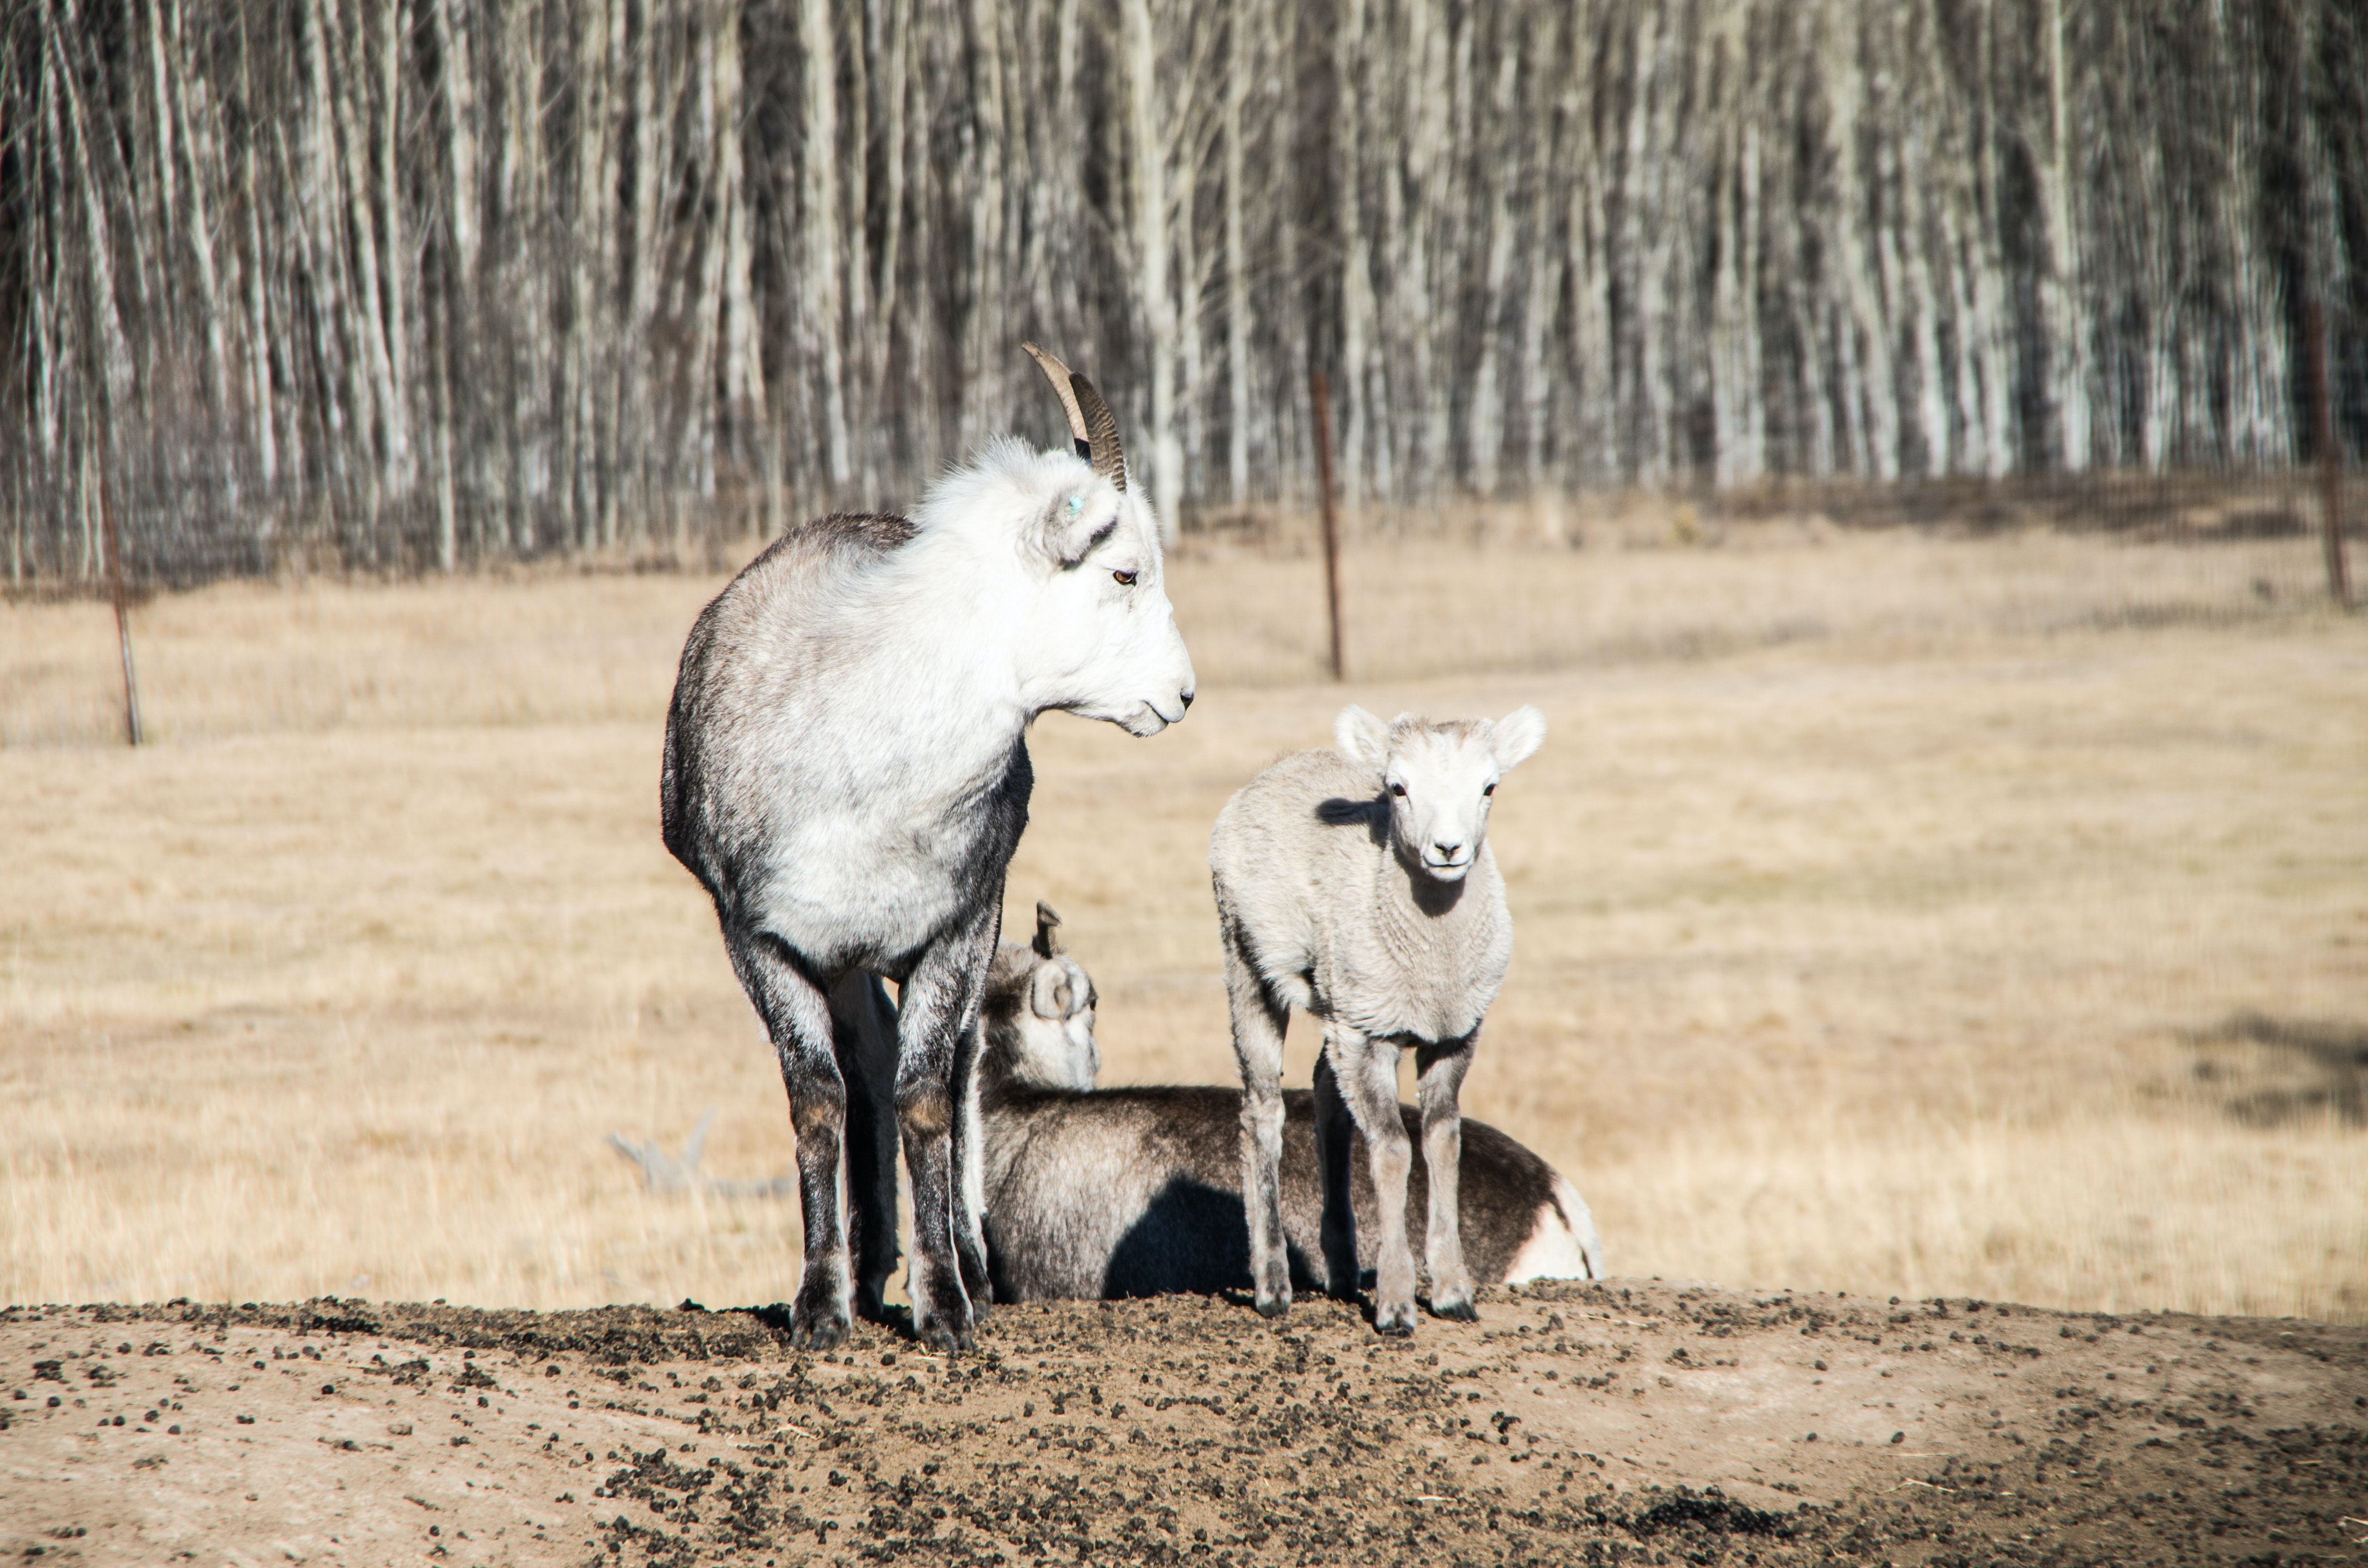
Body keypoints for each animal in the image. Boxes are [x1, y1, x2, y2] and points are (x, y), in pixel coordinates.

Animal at [658, 348, 1193, 1355]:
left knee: (949, 1070)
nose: (1179, 696)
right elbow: (820, 1097)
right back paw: (870, 1271)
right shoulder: (763, 941)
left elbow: (925, 1096)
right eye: (1125, 573)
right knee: (863, 1069)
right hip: (848, 963)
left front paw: (946, 1306)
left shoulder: (955, 930)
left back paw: (967, 1273)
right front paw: (821, 1309)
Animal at [1212, 706, 1544, 1335]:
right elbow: (1392, 1151)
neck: (1432, 964)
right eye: (1397, 788)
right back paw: (1272, 1287)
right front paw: (1394, 1307)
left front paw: (1452, 1294)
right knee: (1262, 1111)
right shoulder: (1373, 1038)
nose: (1447, 849)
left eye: (1488, 787)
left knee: (1327, 1097)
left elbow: (1442, 1143)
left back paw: (1341, 1270)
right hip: (1249, 970)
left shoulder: (1452, 1038)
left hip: (1337, 1011)